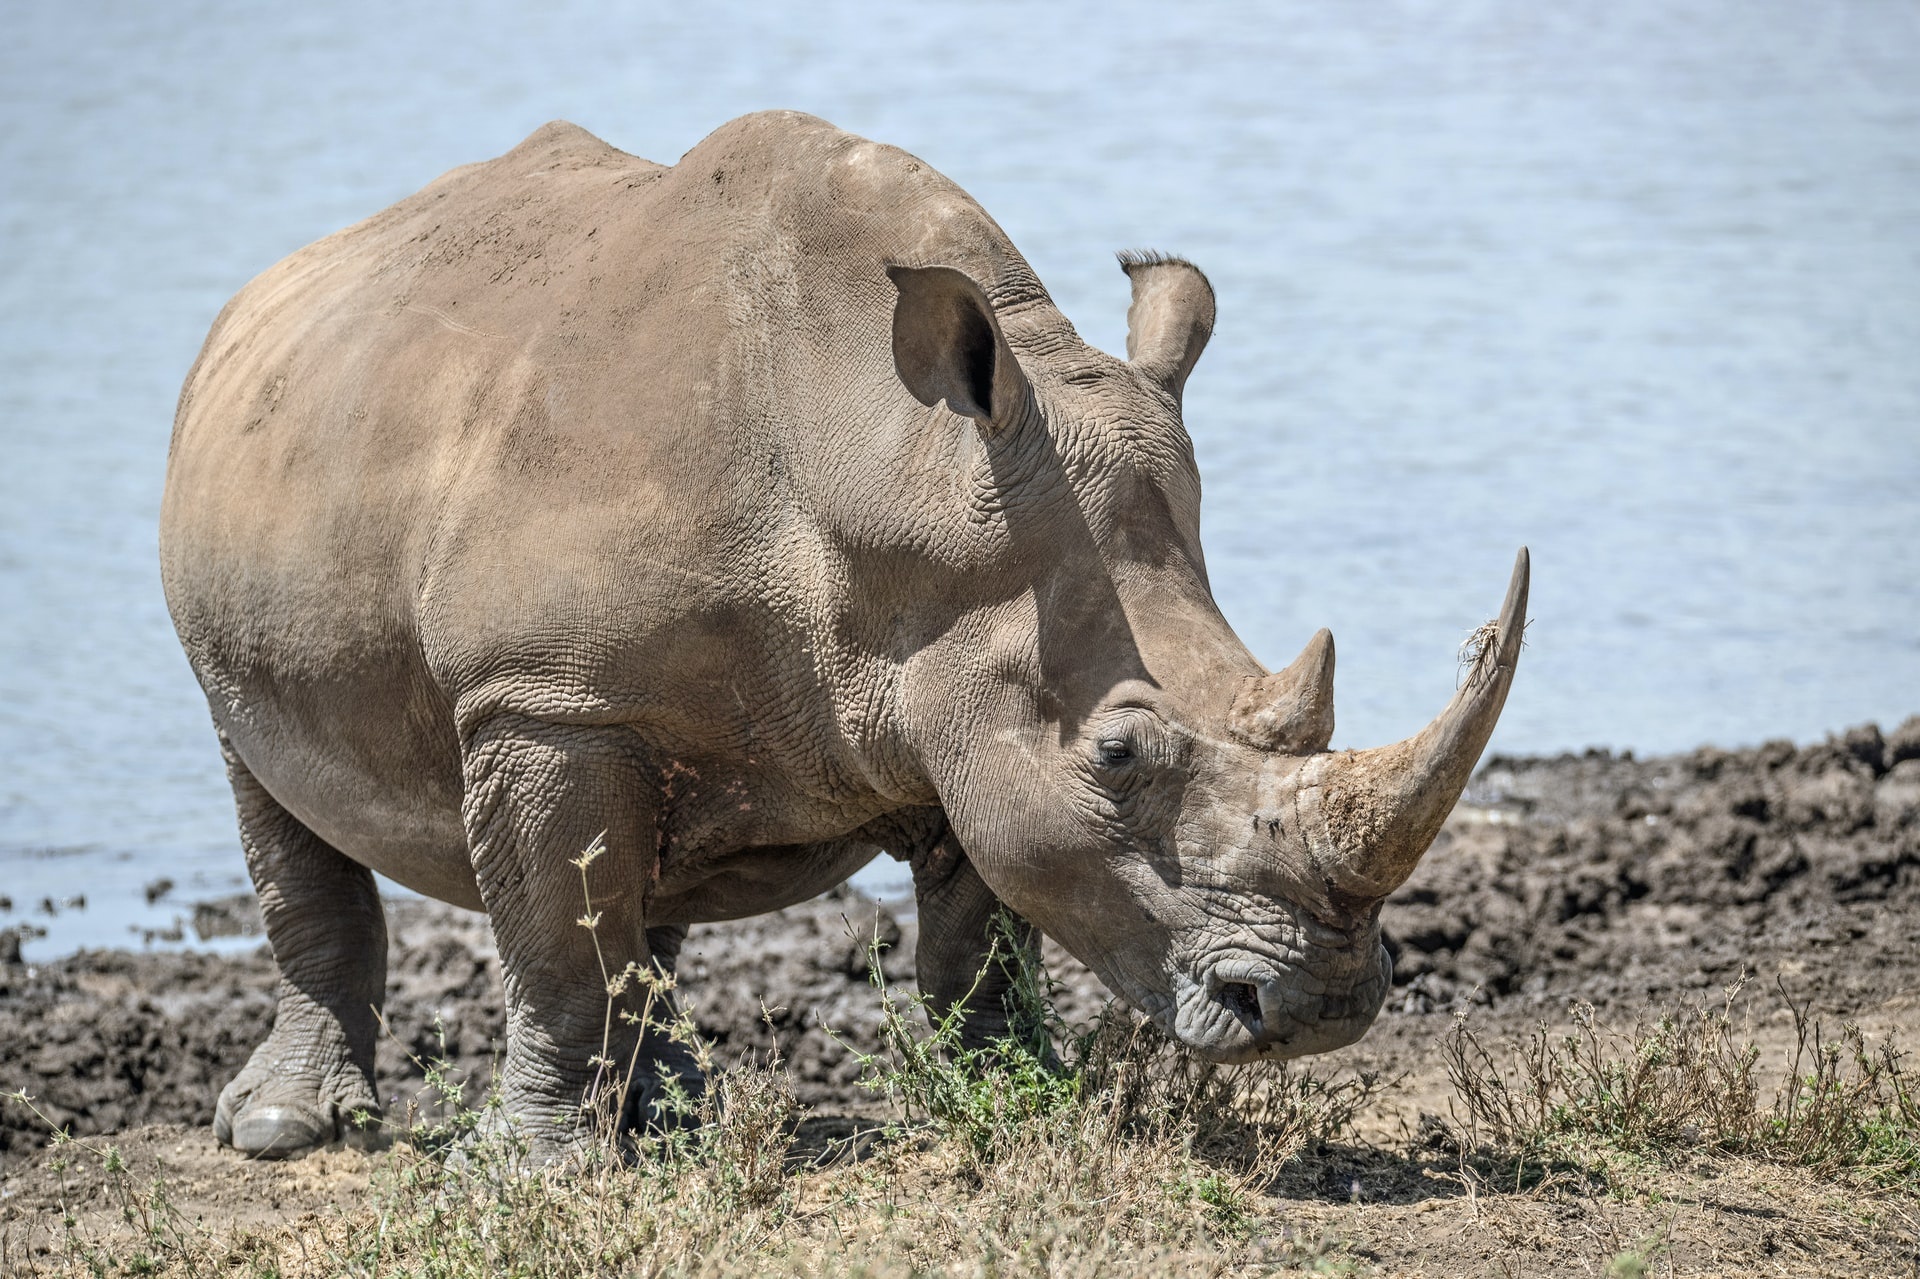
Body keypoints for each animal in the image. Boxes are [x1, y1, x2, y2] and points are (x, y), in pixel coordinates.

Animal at [157, 111, 1520, 1152]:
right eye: (1121, 755)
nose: (1323, 1005)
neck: (887, 464)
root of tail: (266, 288)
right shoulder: (542, 695)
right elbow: (555, 938)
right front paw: (532, 1165)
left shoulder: (965, 673)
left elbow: (982, 929)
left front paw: (1018, 1095)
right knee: (269, 784)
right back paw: (289, 1131)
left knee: (650, 865)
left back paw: (679, 1114)